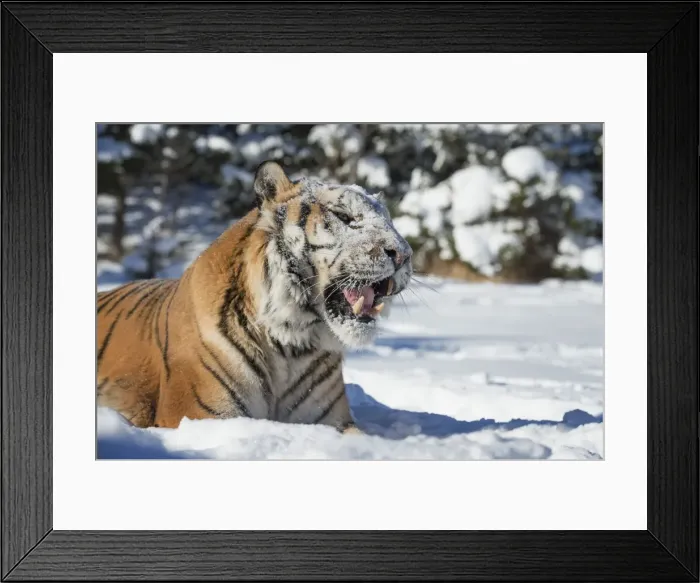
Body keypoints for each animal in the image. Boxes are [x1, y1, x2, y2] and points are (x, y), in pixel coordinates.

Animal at [97, 160, 413, 432]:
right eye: (344, 216)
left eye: (390, 222)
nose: (404, 255)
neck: (292, 344)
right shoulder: (200, 415)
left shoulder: (333, 422)